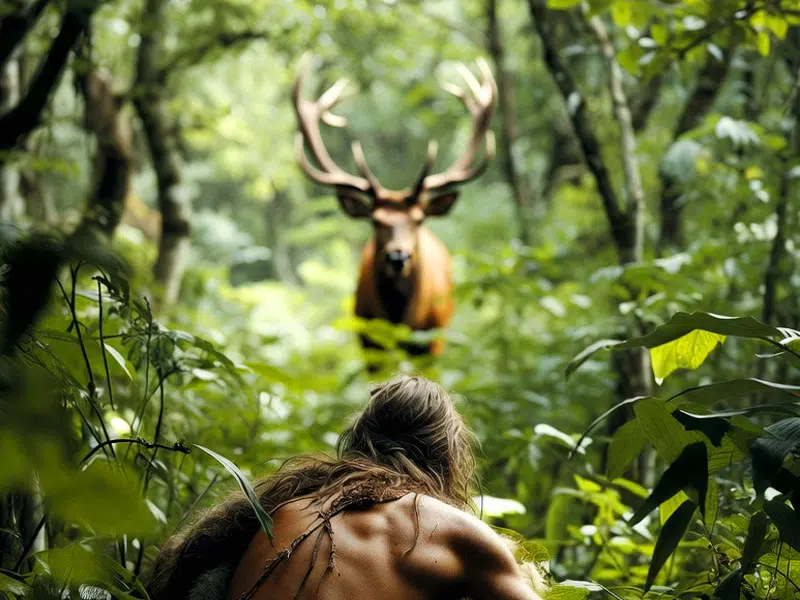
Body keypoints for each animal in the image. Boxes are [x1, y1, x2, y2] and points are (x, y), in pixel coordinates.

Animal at [292, 58, 497, 357]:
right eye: (375, 221)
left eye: (418, 220)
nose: (398, 256)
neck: (401, 319)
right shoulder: (368, 339)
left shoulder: (431, 339)